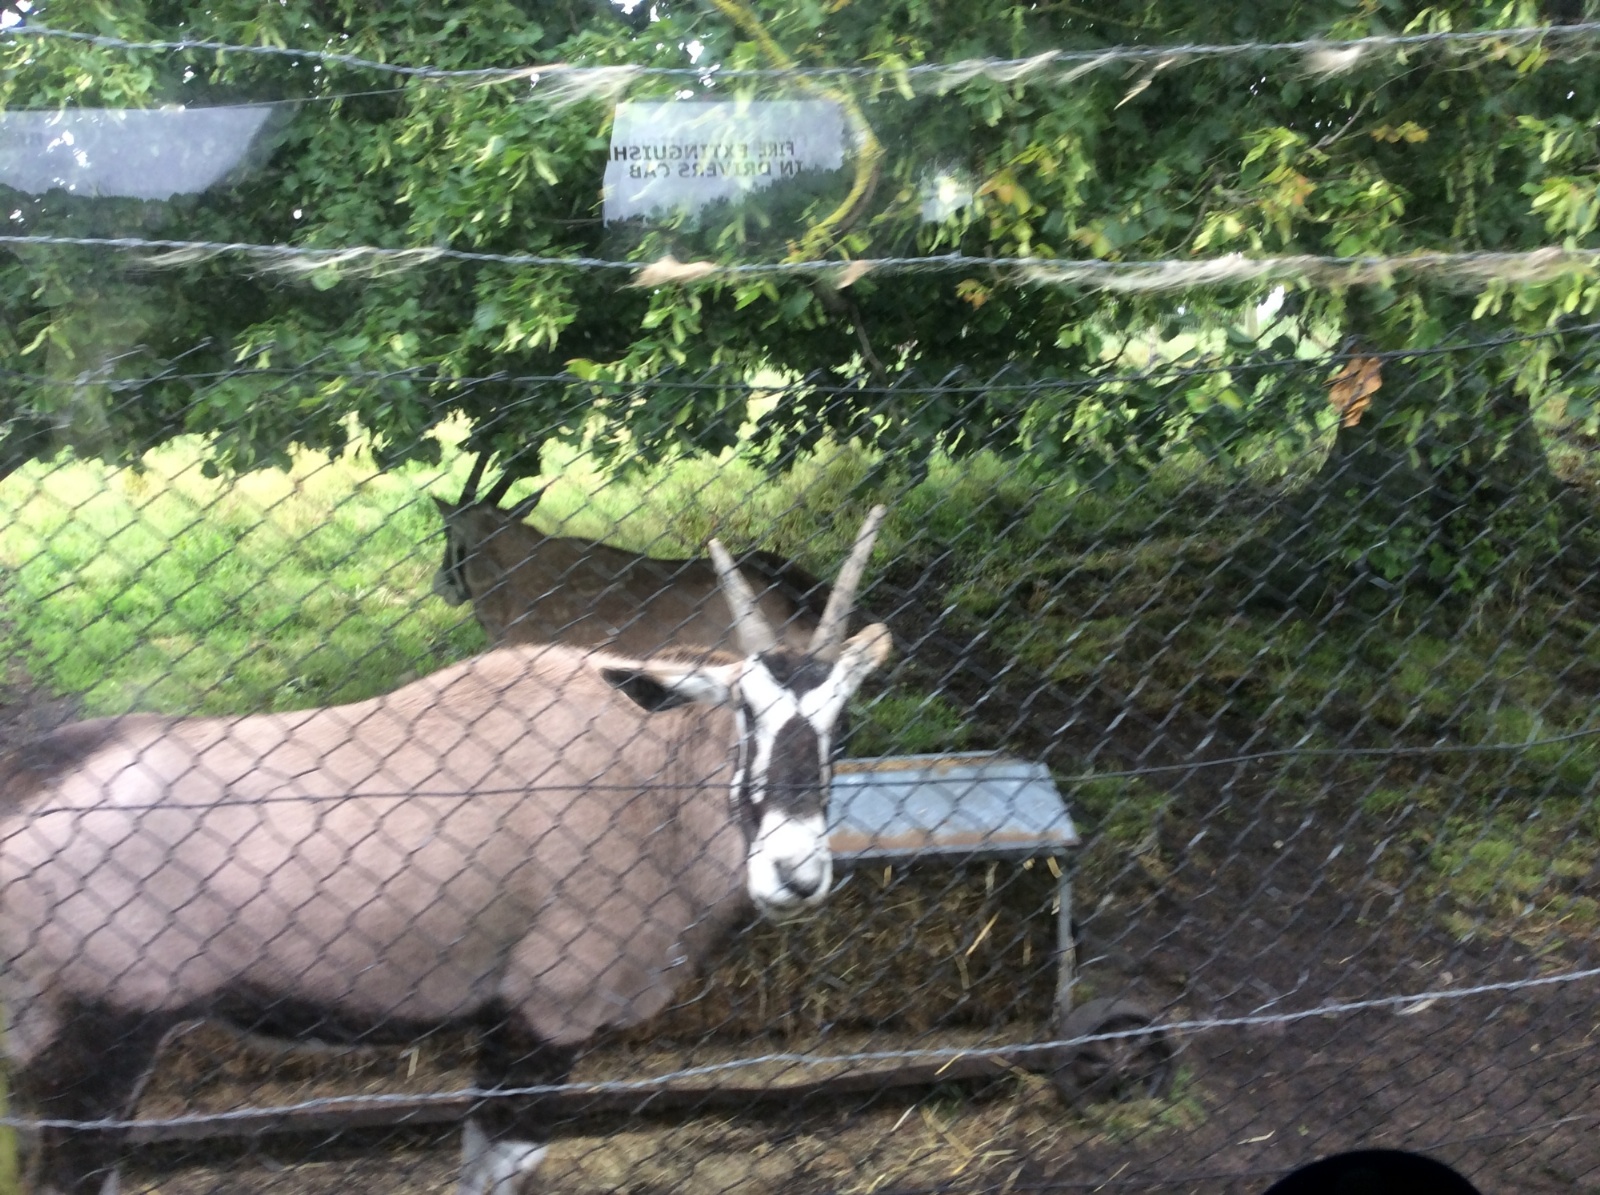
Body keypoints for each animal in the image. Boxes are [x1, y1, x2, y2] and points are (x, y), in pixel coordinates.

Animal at [0, 507, 892, 1195]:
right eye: (745, 710)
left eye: (842, 716)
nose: (794, 872)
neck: (648, 767)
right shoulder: (543, 1019)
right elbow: (504, 1169)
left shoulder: (501, 1024)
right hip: (91, 1056)